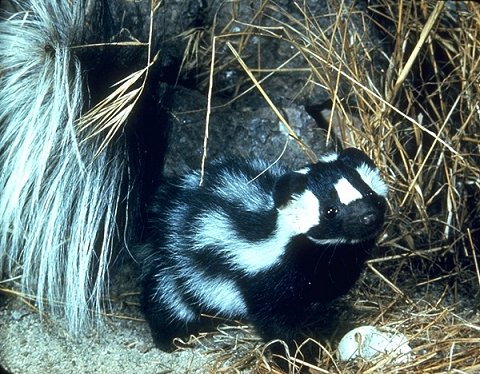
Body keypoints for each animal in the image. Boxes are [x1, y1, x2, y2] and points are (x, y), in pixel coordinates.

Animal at [141, 148, 388, 350]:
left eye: (369, 194)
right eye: (330, 211)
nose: (368, 216)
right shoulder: (263, 283)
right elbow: (276, 327)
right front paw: (296, 356)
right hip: (179, 268)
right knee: (169, 301)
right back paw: (169, 339)